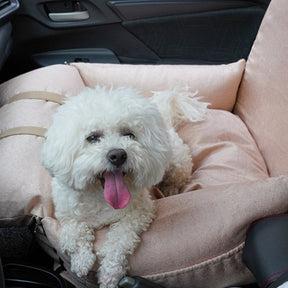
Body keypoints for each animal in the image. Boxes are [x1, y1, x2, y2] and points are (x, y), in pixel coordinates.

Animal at [40, 85, 207, 288]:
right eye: (92, 138)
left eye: (129, 134)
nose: (118, 155)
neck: (100, 198)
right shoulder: (67, 215)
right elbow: (76, 234)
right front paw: (82, 261)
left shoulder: (139, 214)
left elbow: (119, 240)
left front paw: (109, 274)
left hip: (176, 163)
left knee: (176, 177)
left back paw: (169, 189)